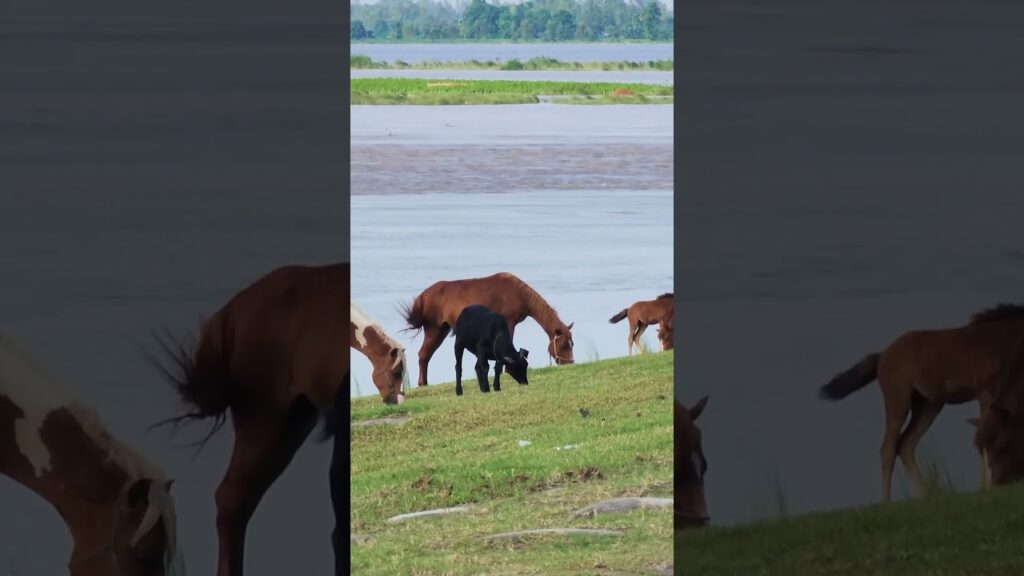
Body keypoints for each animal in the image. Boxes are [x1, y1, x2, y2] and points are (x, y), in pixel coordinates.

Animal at [401, 270, 577, 385]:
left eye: (572, 344)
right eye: (563, 345)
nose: (570, 363)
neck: (518, 294)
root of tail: (423, 297)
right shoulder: (509, 322)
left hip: (441, 330)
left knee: (425, 355)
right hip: (434, 329)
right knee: (423, 355)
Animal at [819, 303, 1024, 500]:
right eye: (1002, 446)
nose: (998, 484)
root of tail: (882, 355)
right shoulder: (985, 391)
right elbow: (982, 433)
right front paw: (982, 487)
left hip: (927, 405)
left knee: (906, 444)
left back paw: (924, 494)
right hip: (898, 400)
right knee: (888, 448)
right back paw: (886, 501)